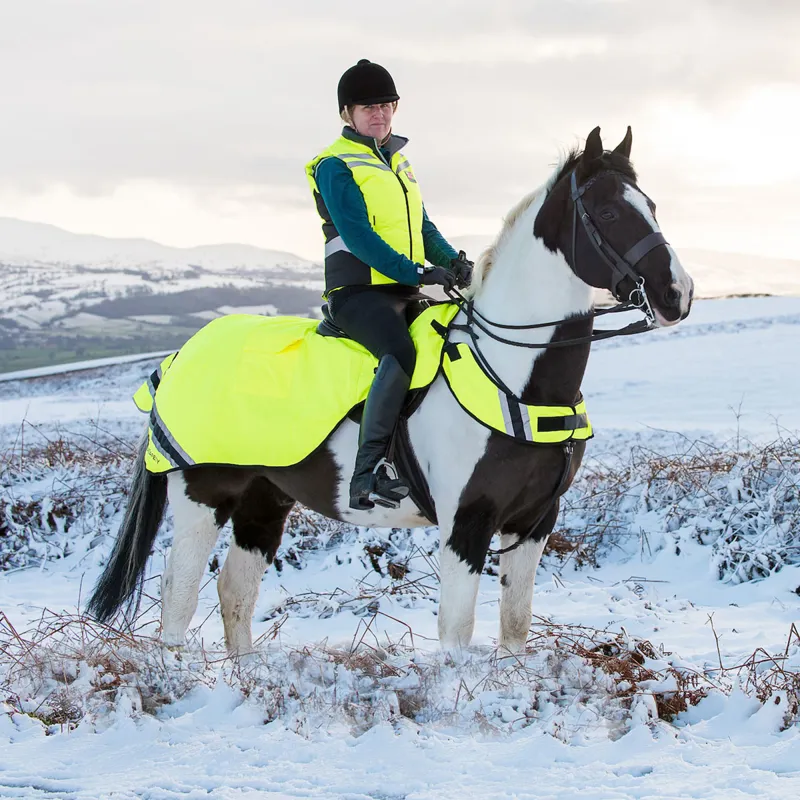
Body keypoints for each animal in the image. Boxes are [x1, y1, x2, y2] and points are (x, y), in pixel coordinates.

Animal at [87, 126, 693, 657]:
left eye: (652, 205)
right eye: (610, 211)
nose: (677, 295)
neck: (515, 373)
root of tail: (182, 355)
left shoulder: (534, 523)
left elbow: (515, 627)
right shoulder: (465, 523)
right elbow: (456, 632)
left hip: (266, 500)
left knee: (234, 590)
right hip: (203, 496)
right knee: (178, 596)